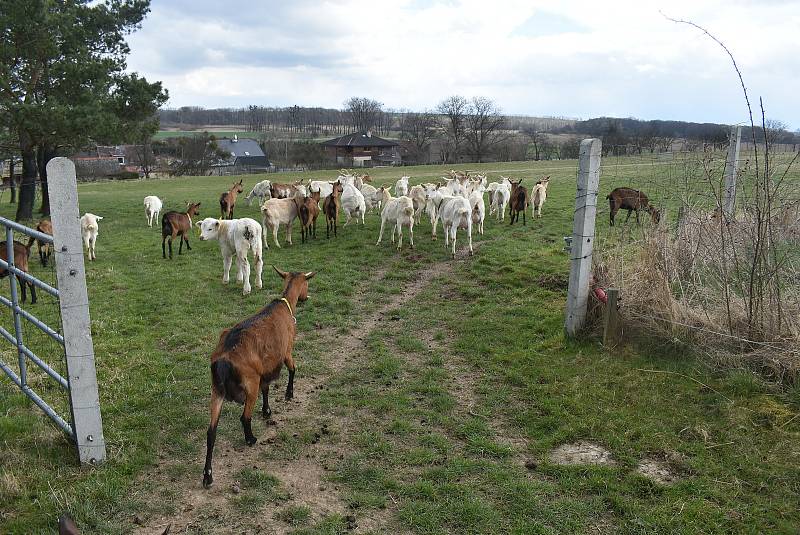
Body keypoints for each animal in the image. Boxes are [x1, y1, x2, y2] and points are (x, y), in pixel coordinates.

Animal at [203, 268, 316, 490]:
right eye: (307, 284)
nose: (306, 297)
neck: (284, 304)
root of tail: (223, 360)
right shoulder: (286, 352)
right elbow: (293, 370)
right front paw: (289, 394)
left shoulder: (267, 367)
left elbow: (267, 388)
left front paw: (267, 411)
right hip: (250, 384)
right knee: (244, 417)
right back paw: (250, 439)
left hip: (216, 391)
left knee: (211, 432)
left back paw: (208, 476)